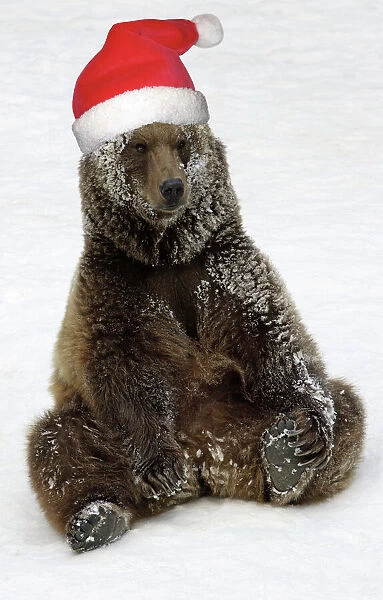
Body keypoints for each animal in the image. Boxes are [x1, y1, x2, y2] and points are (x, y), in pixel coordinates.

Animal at [26, 17, 366, 552]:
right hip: (97, 425)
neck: (167, 252)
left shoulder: (222, 269)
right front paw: (158, 465)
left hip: (239, 416)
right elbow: (122, 364)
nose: (172, 187)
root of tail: (207, 465)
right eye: (138, 145)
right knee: (58, 442)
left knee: (349, 407)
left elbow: (272, 336)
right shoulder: (116, 288)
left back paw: (285, 458)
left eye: (183, 141)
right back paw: (97, 517)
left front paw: (308, 430)